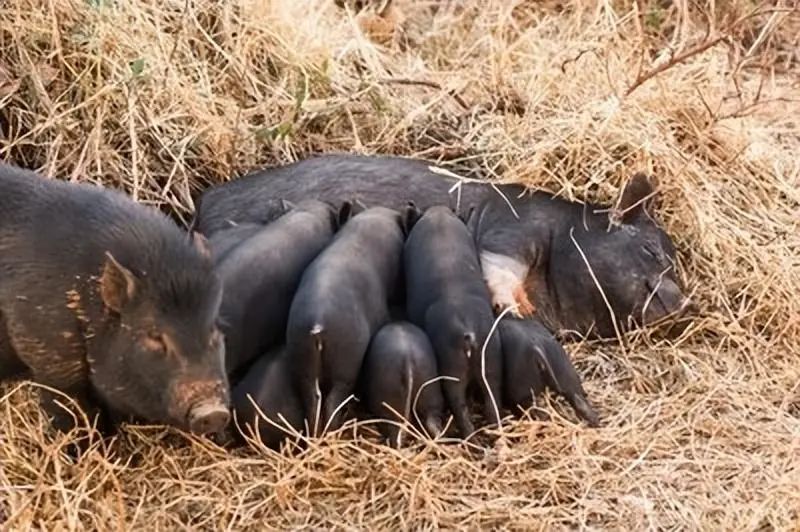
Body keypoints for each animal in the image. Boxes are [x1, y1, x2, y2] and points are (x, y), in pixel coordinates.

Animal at [192, 152, 692, 338]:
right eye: (651, 252)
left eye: (679, 266)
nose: (686, 301)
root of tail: (200, 203)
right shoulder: (513, 228)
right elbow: (501, 262)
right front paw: (512, 308)